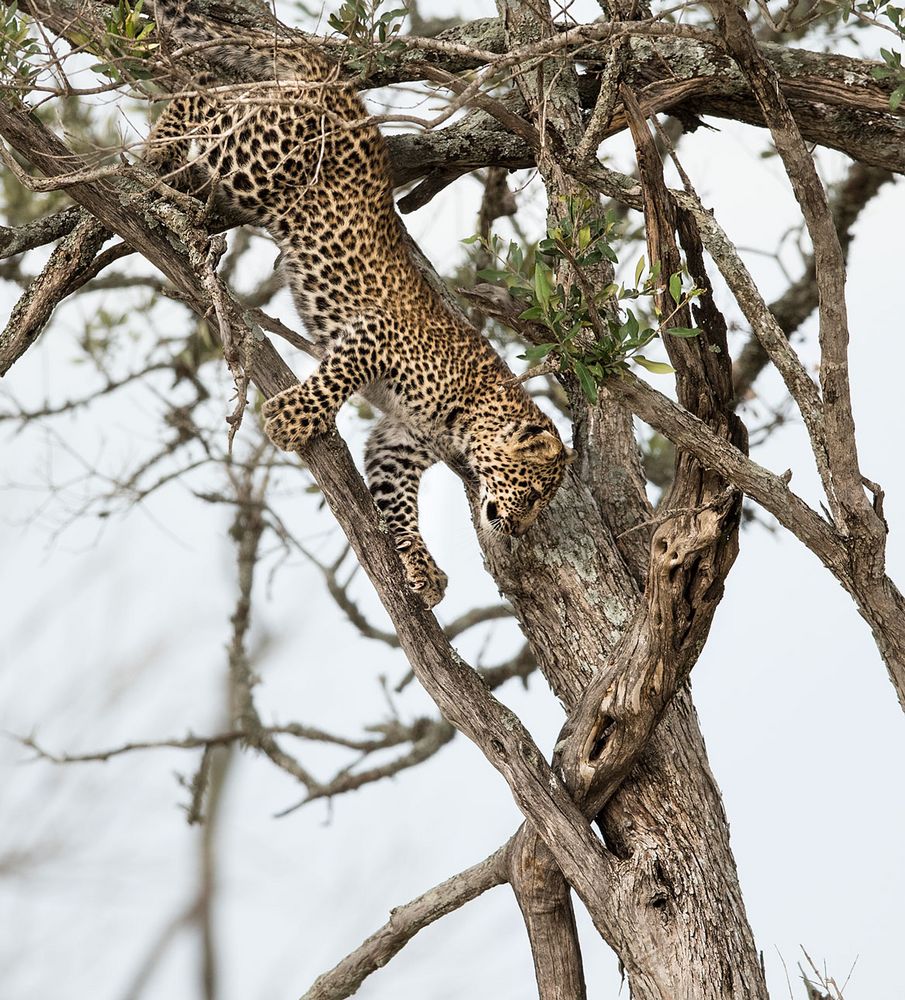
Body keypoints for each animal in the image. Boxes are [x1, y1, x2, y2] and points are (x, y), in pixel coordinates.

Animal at [148, 0, 572, 608]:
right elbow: (336, 378)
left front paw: (423, 570)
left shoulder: (398, 441)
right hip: (259, 162)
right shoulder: (377, 335)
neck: (471, 417)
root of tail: (344, 92)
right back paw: (155, 150)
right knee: (205, 101)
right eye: (534, 493)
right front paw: (292, 420)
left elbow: (397, 504)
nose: (516, 529)